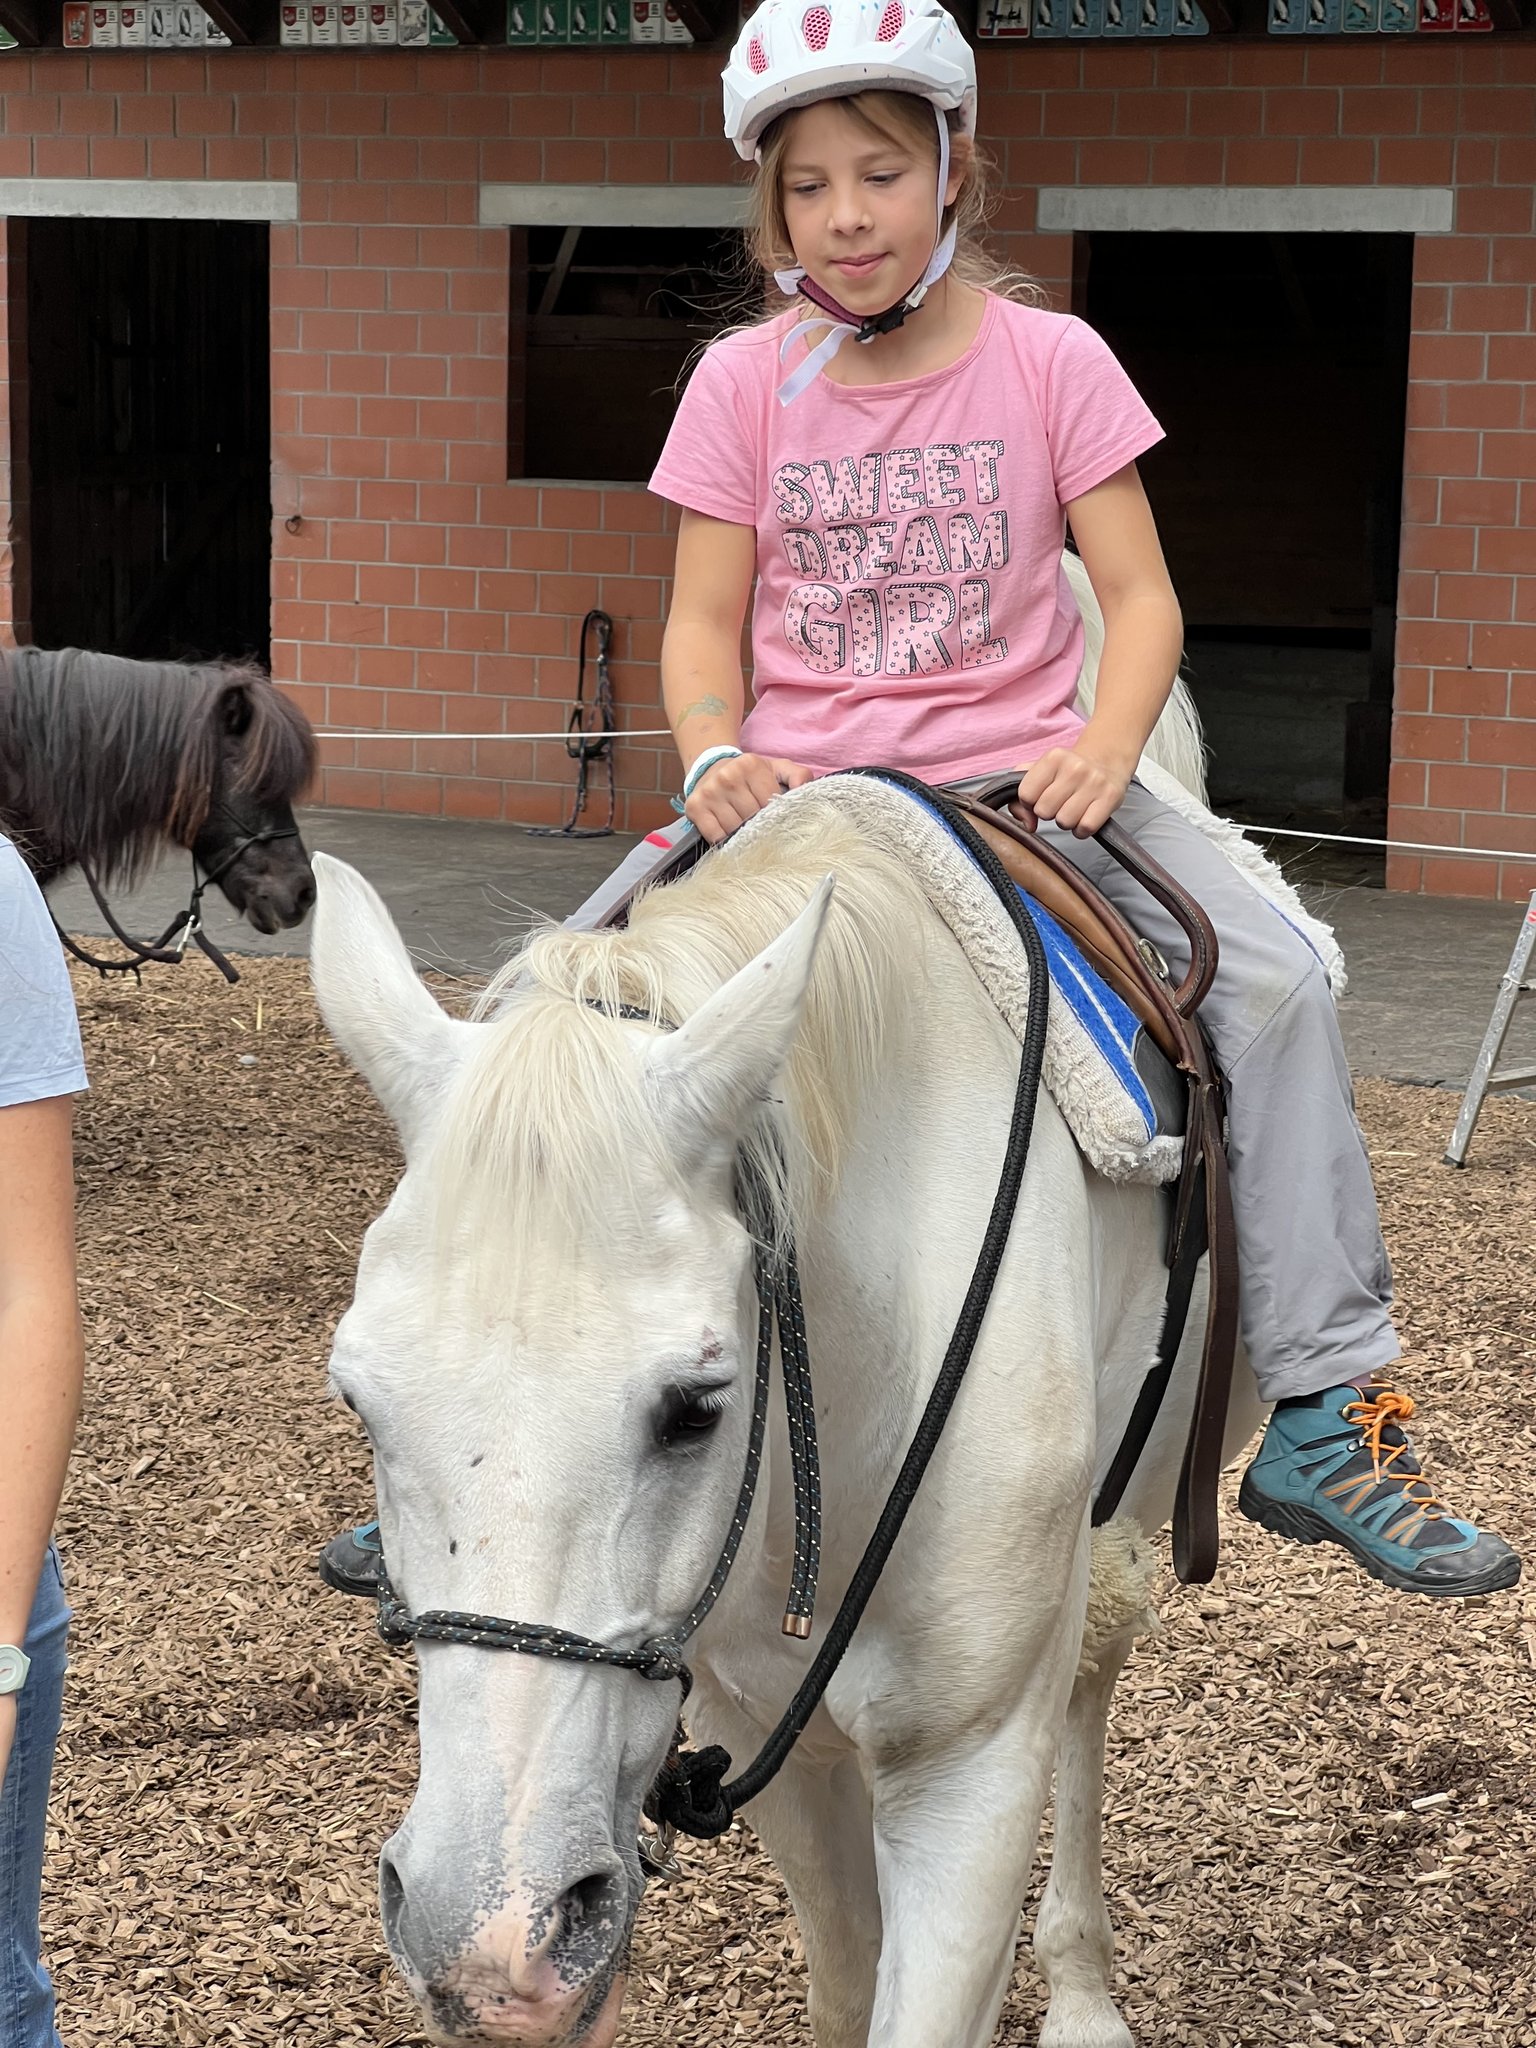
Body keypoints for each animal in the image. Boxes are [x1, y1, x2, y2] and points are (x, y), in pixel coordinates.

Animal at [306, 622, 1278, 2048]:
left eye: (696, 1405)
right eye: (360, 1401)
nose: (494, 1934)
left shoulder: (968, 1780)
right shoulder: (774, 1737)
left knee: (1092, 1679)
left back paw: (1084, 1992)